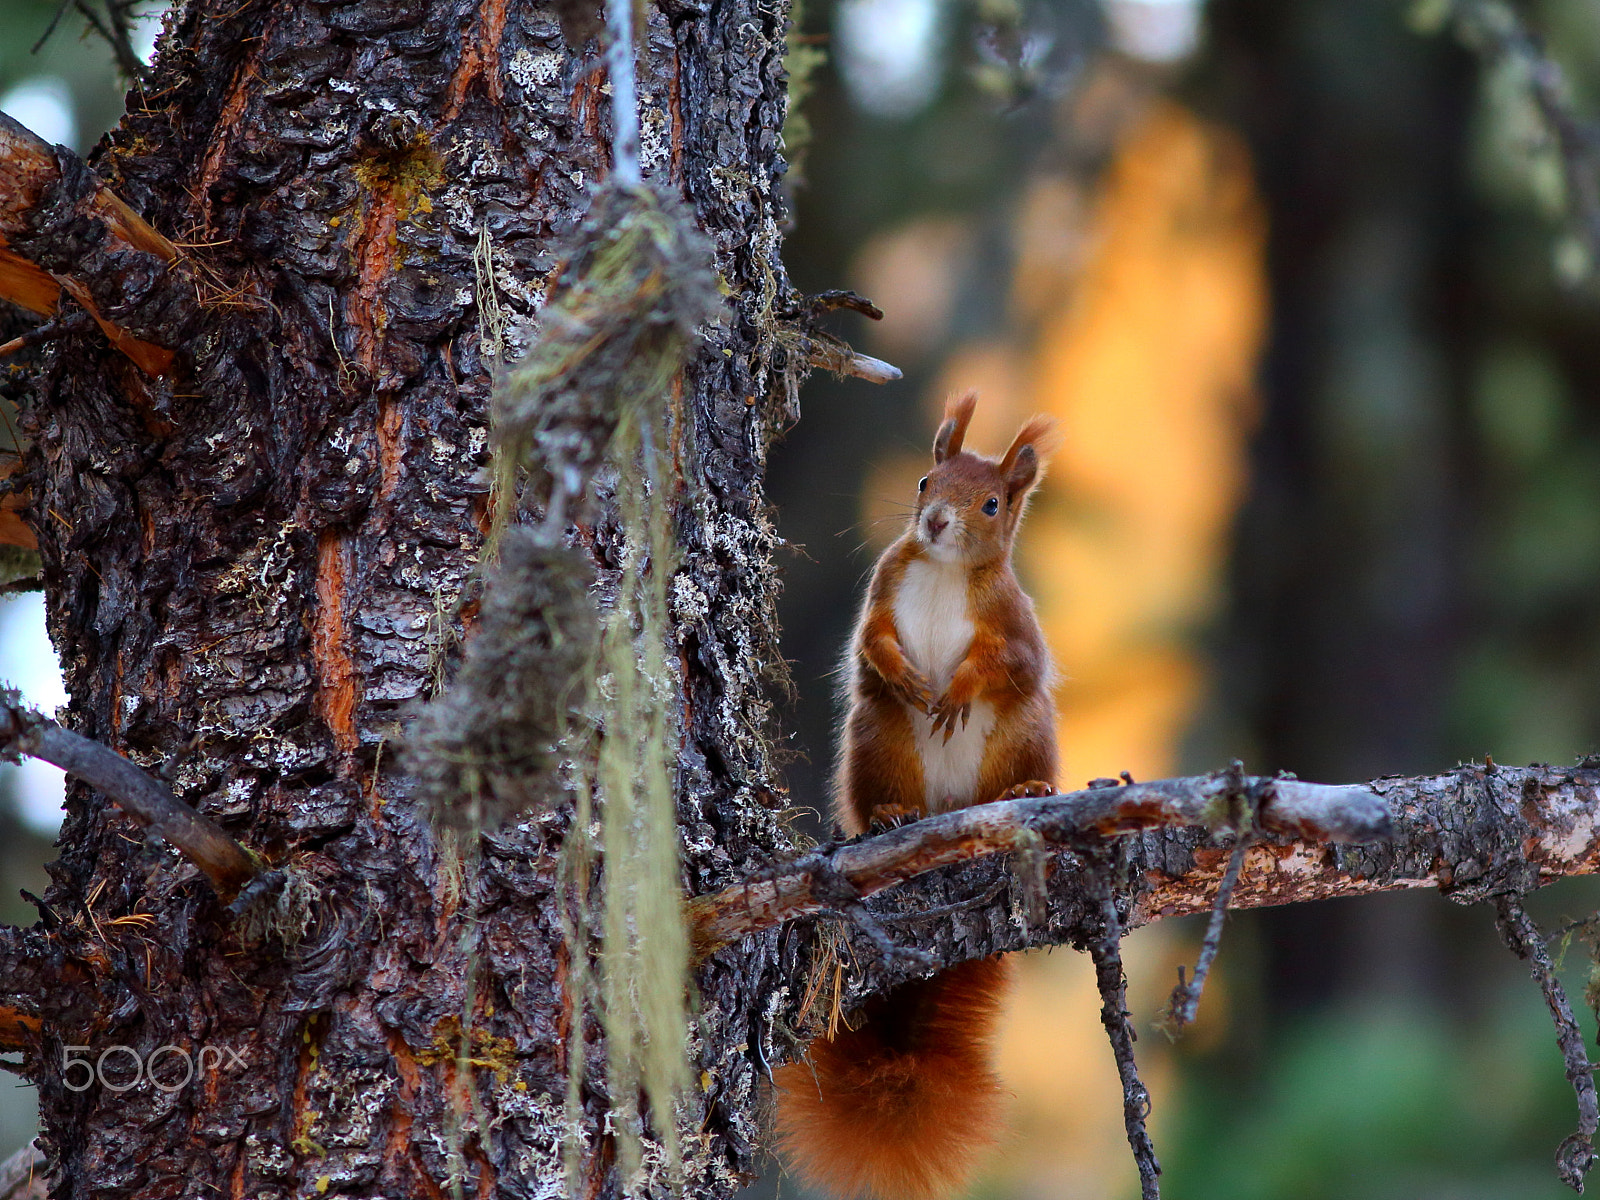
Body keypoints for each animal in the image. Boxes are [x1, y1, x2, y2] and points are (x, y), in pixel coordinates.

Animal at [774, 392, 1060, 1200]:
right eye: (929, 480)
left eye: (992, 504)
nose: (933, 522)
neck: (939, 568)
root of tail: (947, 816)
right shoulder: (882, 589)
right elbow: (871, 639)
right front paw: (902, 670)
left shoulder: (1012, 628)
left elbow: (1005, 664)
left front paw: (956, 689)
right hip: (879, 743)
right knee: (883, 783)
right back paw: (891, 814)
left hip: (1022, 733)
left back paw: (1028, 787)